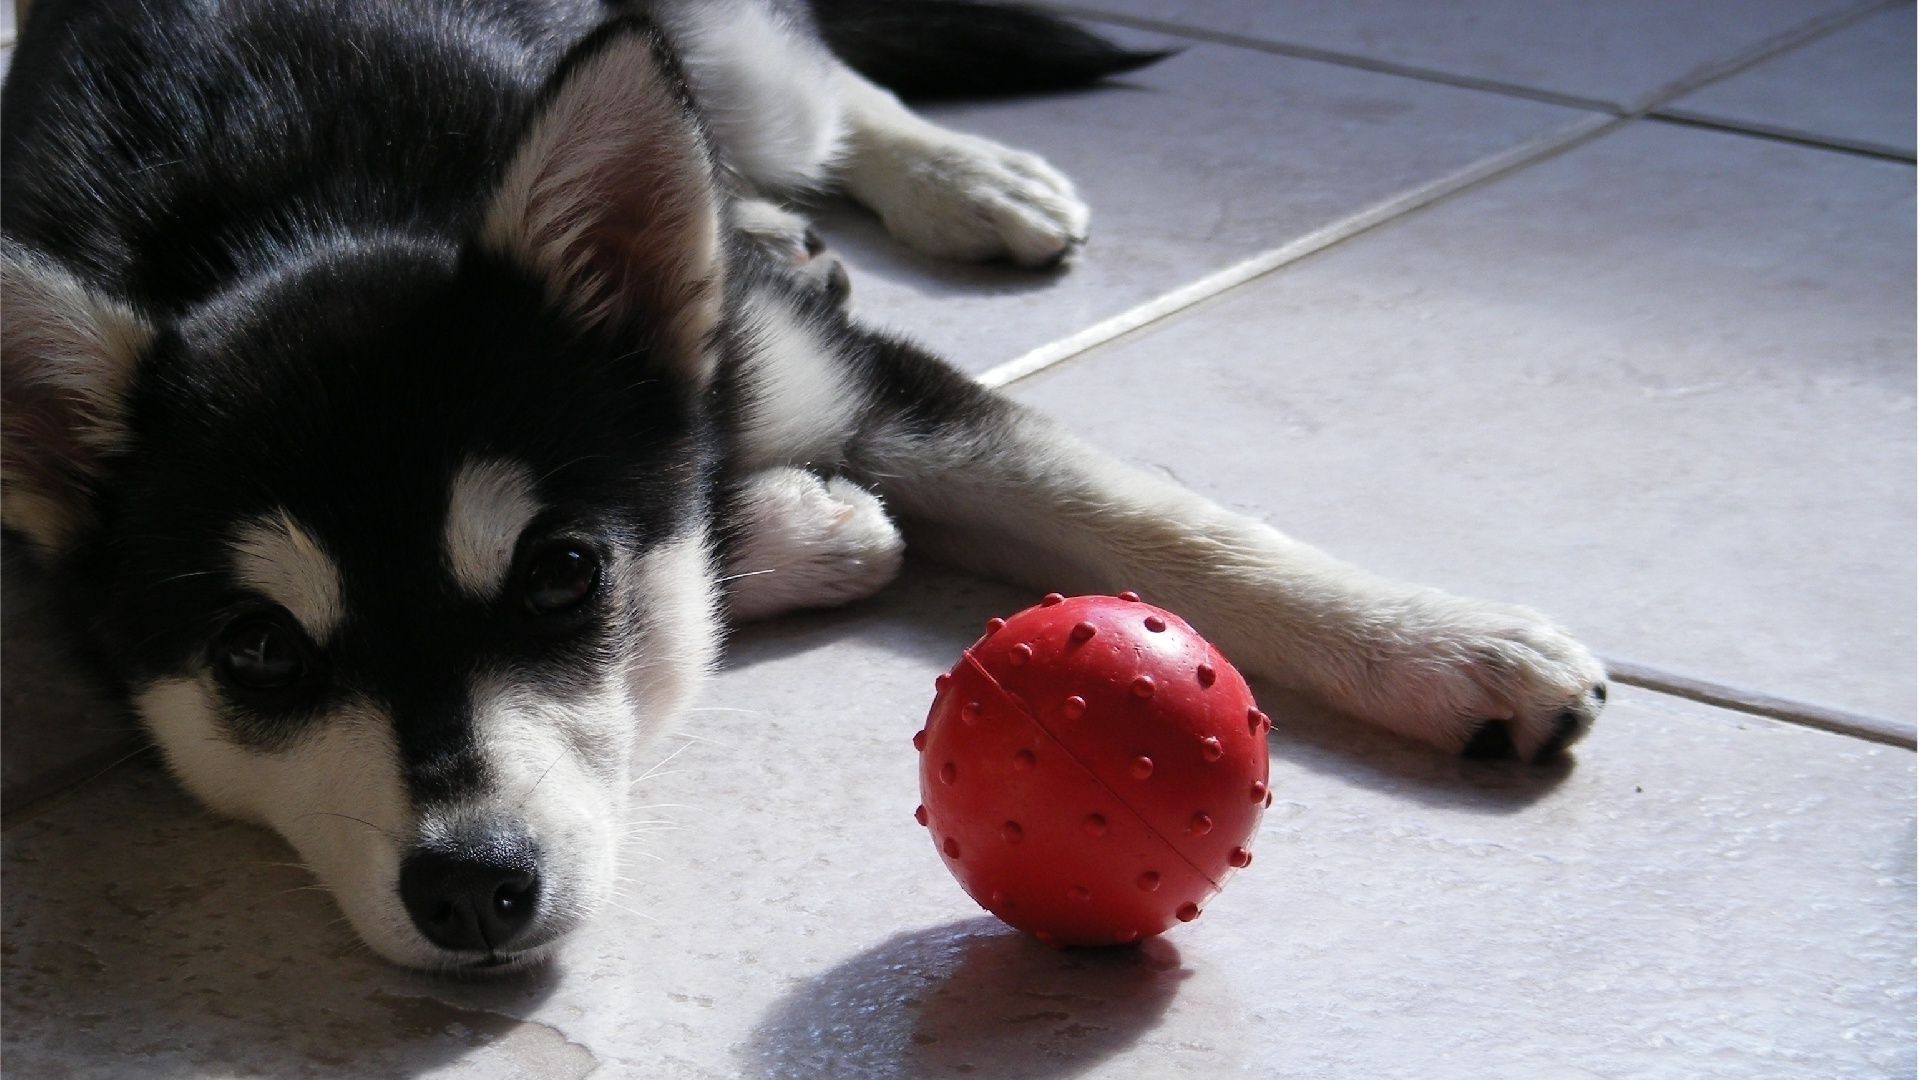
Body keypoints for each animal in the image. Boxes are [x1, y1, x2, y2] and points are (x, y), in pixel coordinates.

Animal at [0, 0, 1605, 968]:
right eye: (258, 653)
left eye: (562, 572)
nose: (471, 890)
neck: (304, 215)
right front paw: (784, 530)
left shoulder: (862, 386)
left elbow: (1153, 516)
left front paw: (1445, 645)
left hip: (731, 66)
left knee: (817, 85)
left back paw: (949, 182)